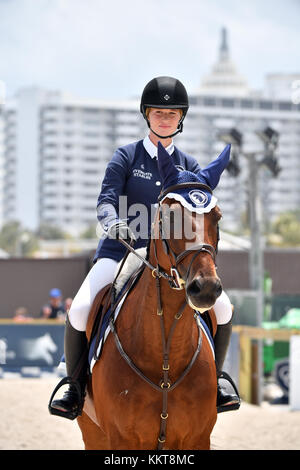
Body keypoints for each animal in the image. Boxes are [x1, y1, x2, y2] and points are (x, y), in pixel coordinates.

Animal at [77, 141, 230, 450]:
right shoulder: (120, 440)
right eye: (170, 216)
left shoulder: (198, 439)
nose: (206, 288)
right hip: (92, 431)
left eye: (217, 216)